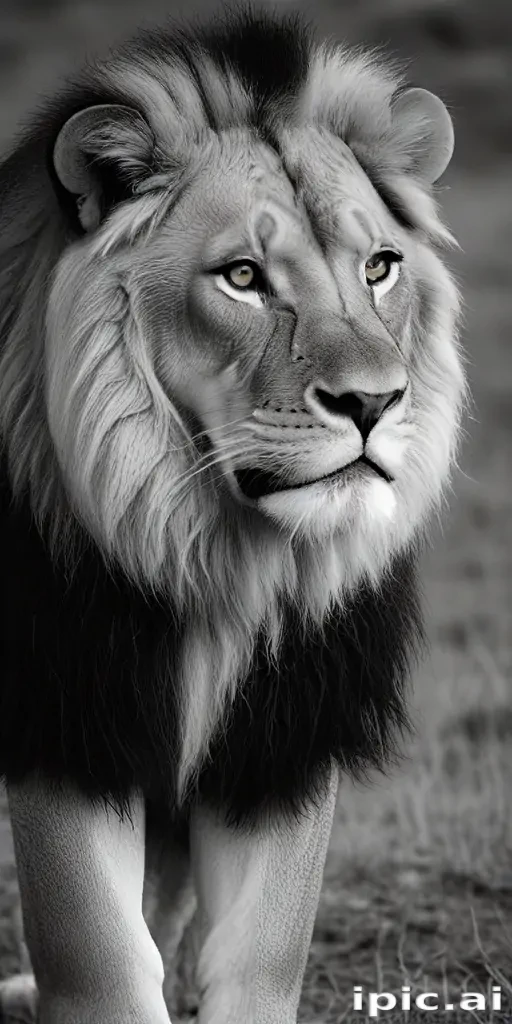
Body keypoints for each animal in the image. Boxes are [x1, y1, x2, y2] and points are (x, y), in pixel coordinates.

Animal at [0, 8, 465, 1024]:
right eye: (244, 278)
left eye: (380, 267)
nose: (374, 402)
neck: (219, 556)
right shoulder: (66, 710)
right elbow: (99, 955)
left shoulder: (285, 734)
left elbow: (258, 955)